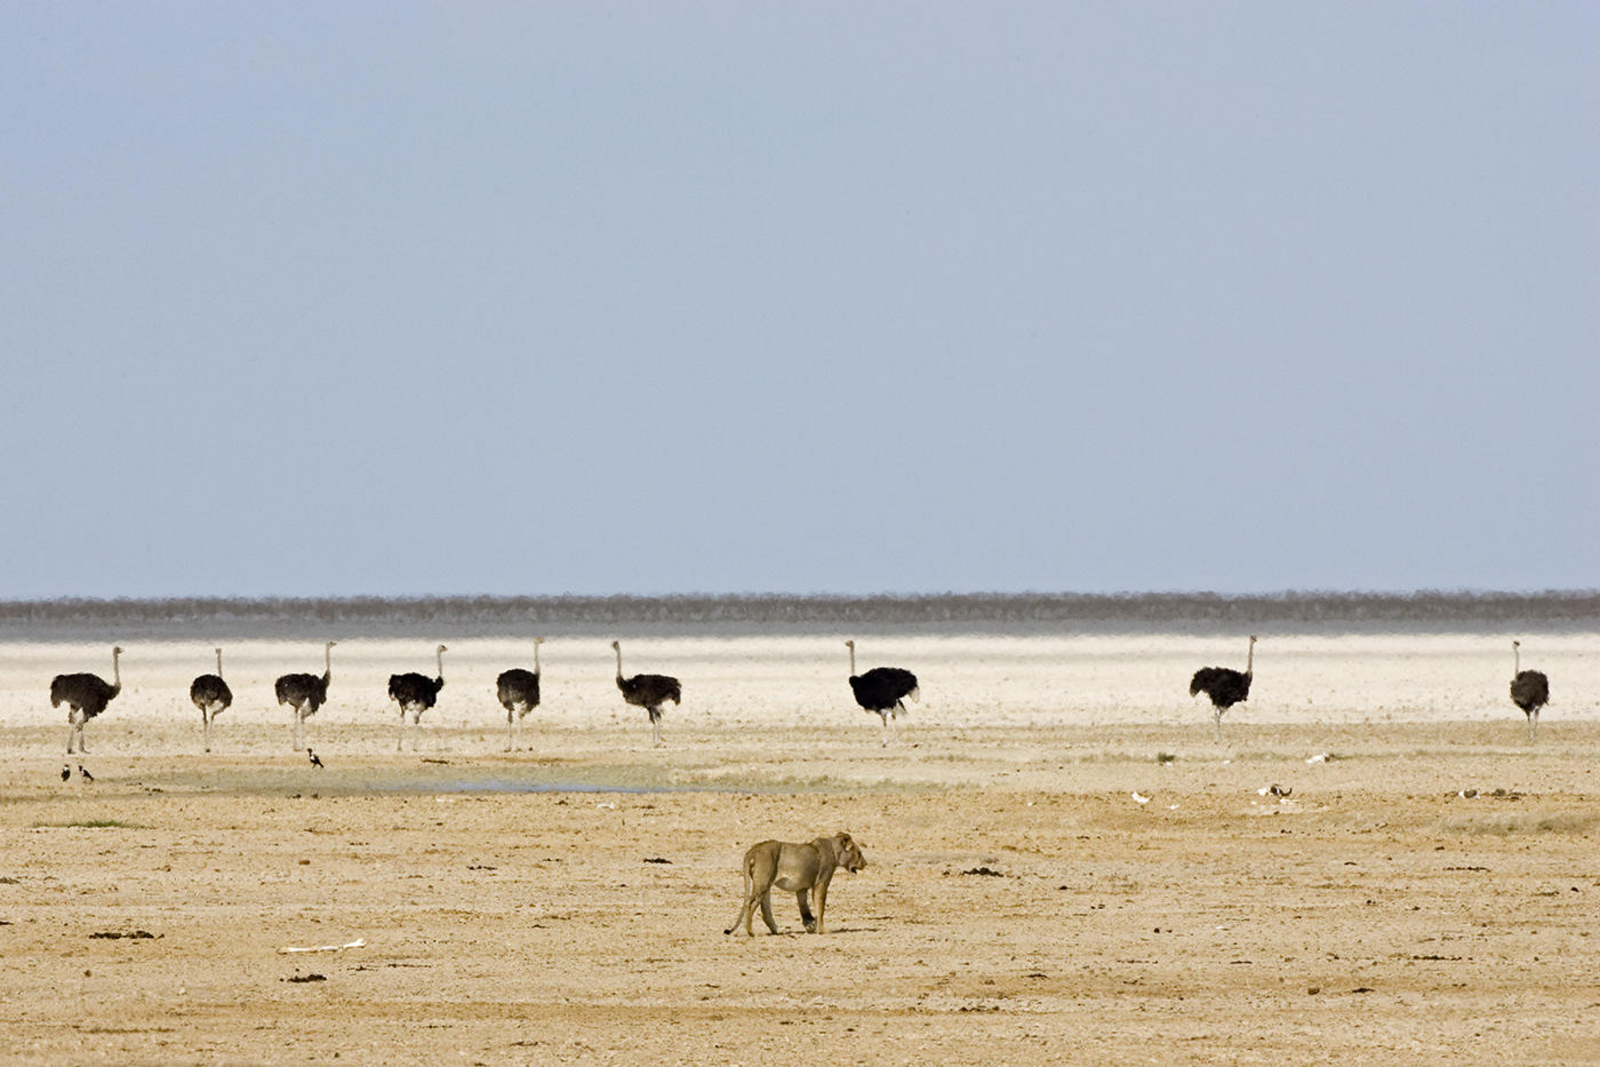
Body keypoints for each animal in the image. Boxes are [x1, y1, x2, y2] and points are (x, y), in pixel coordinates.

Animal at [724, 831, 866, 936]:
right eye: (859, 853)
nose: (866, 863)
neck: (835, 851)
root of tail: (754, 849)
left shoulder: (801, 887)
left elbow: (804, 907)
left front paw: (810, 925)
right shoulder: (821, 882)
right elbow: (820, 907)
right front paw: (822, 930)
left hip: (765, 883)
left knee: (764, 908)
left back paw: (775, 930)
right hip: (763, 883)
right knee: (751, 903)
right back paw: (750, 932)